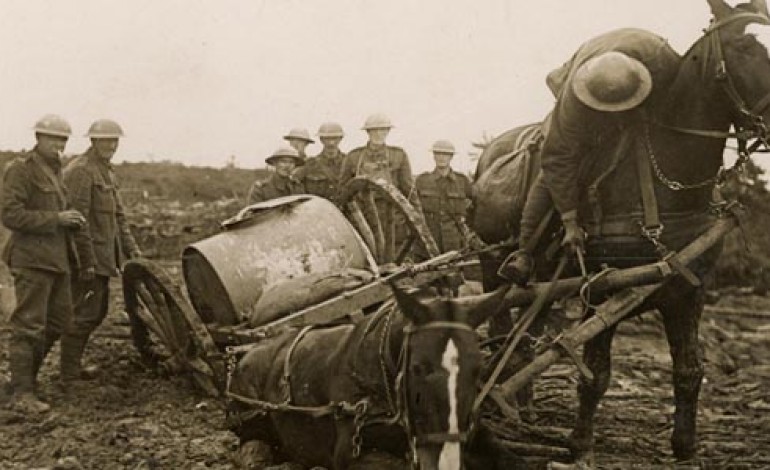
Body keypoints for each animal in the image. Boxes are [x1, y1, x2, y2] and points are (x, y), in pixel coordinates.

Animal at [228, 282, 516, 470]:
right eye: (418, 368)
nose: (447, 459)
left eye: (479, 368)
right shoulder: (352, 454)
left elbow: (504, 456)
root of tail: (246, 353)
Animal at [468, 0, 768, 462]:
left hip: (543, 283)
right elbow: (596, 374)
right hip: (490, 265)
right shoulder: (601, 288)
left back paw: (524, 408)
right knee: (504, 331)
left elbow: (690, 370)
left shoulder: (690, 291)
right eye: (746, 47)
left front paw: (684, 446)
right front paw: (579, 444)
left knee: (524, 338)